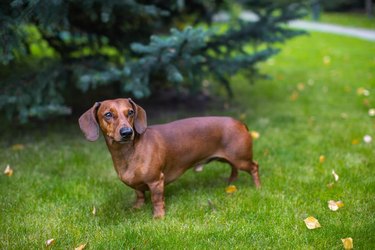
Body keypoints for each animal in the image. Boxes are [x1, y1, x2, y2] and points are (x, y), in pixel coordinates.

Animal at [78, 98, 262, 218]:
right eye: (108, 114)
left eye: (130, 112)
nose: (127, 132)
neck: (128, 152)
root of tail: (240, 123)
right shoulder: (137, 185)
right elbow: (139, 194)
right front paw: (137, 208)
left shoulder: (156, 181)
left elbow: (157, 199)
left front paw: (158, 217)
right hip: (231, 159)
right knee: (234, 169)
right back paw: (230, 183)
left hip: (241, 159)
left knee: (254, 167)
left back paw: (258, 188)